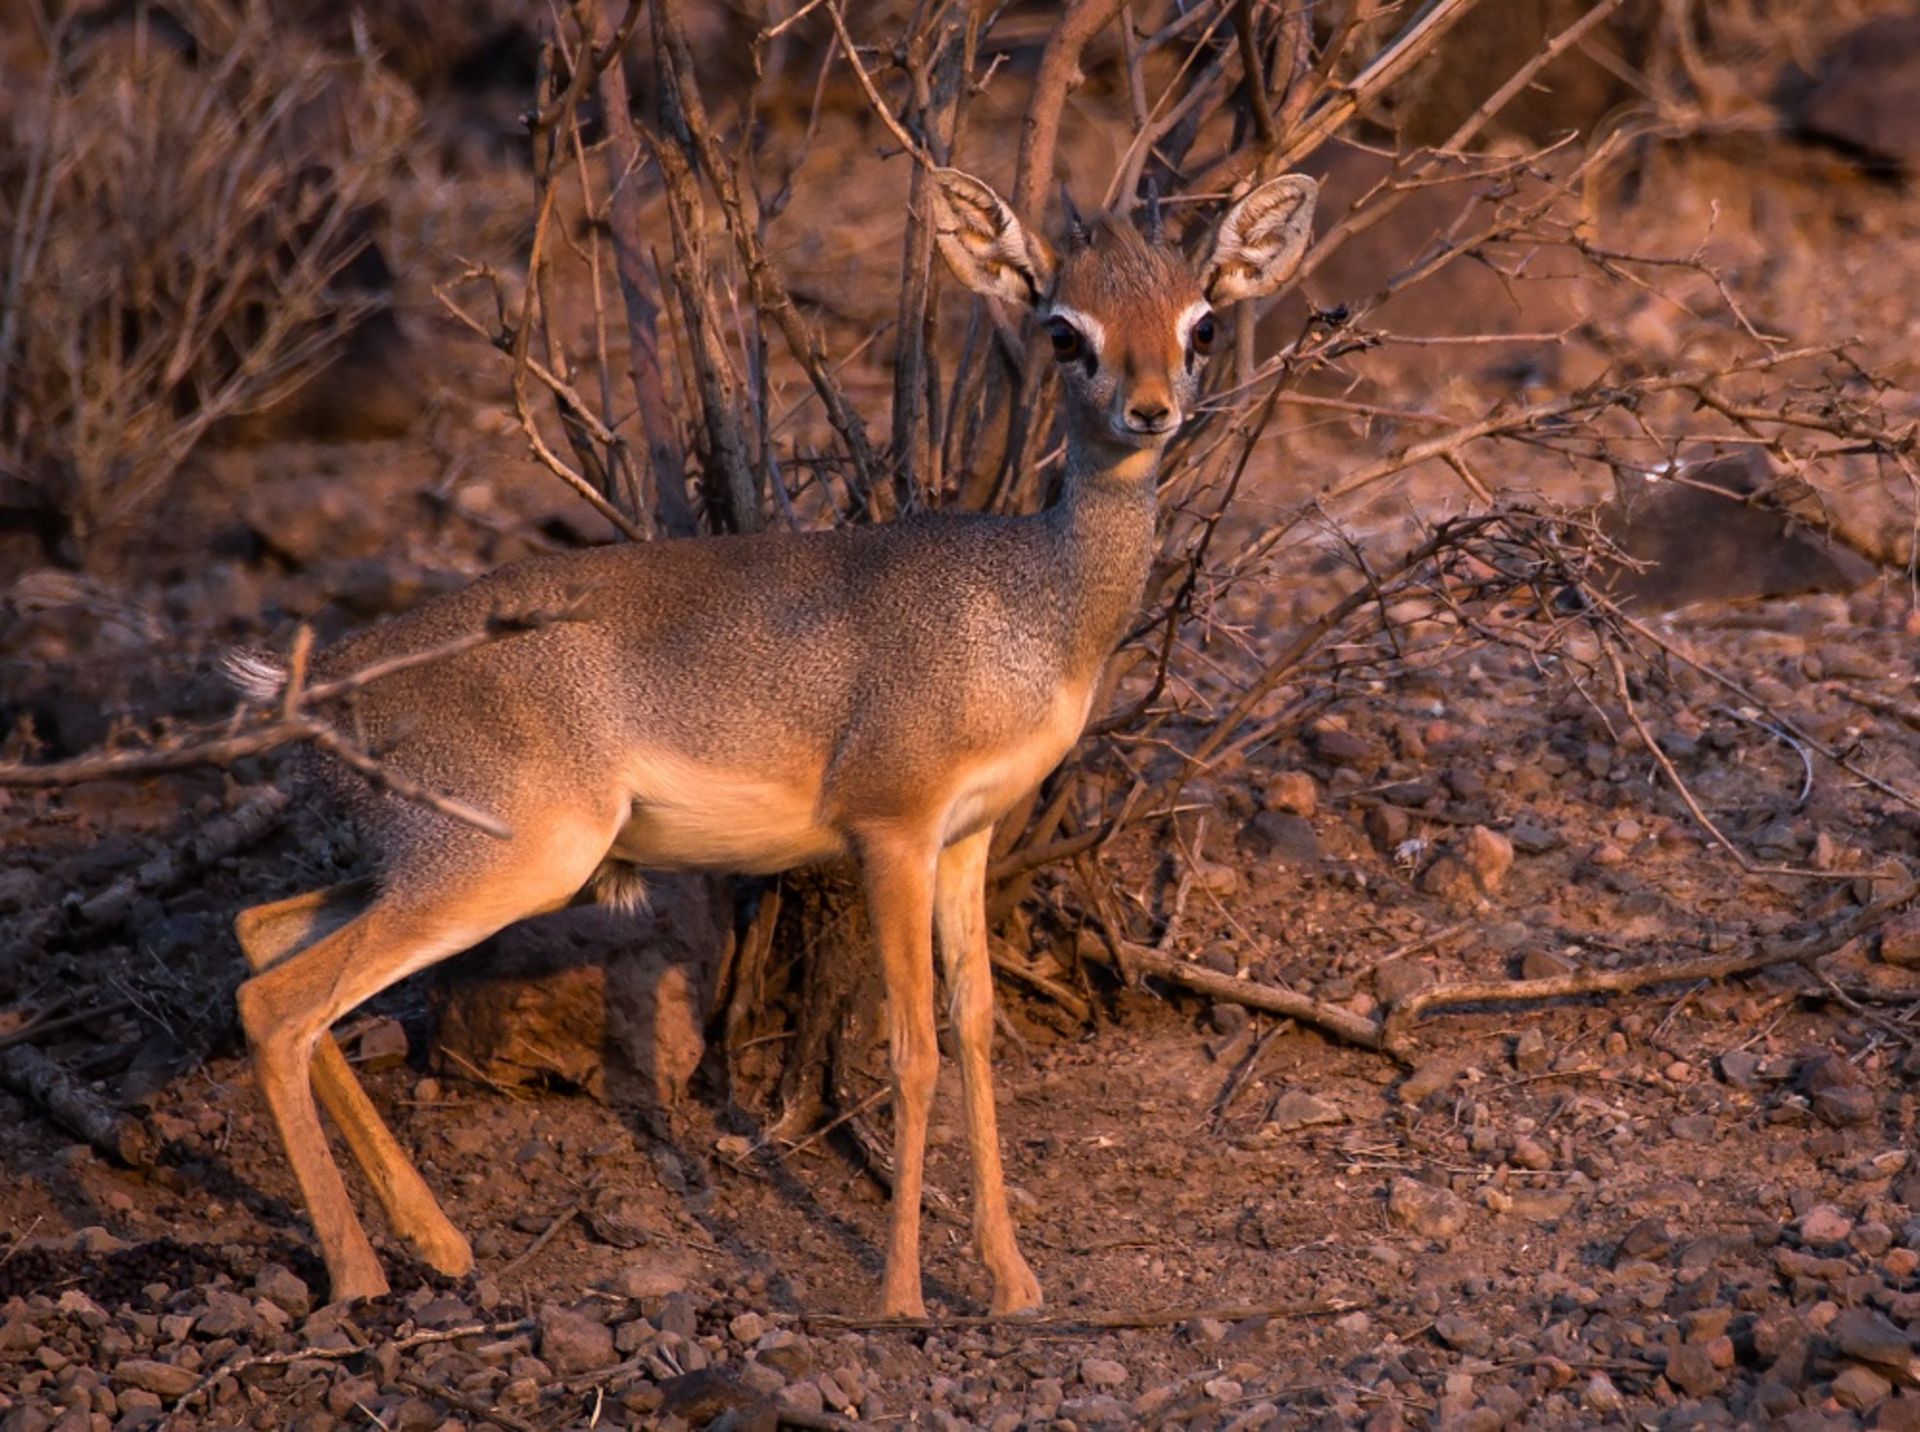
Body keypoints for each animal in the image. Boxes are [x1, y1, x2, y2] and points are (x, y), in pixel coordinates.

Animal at [220, 162, 1305, 1312]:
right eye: (1064, 330)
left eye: (1200, 322)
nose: (1151, 410)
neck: (1028, 605)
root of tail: (322, 683)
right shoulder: (893, 832)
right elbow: (912, 1048)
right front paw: (902, 1297)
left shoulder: (967, 838)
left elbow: (973, 1030)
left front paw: (1013, 1282)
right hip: (511, 862)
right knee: (276, 1004)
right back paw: (359, 1277)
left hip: (449, 865)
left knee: (264, 933)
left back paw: (437, 1242)